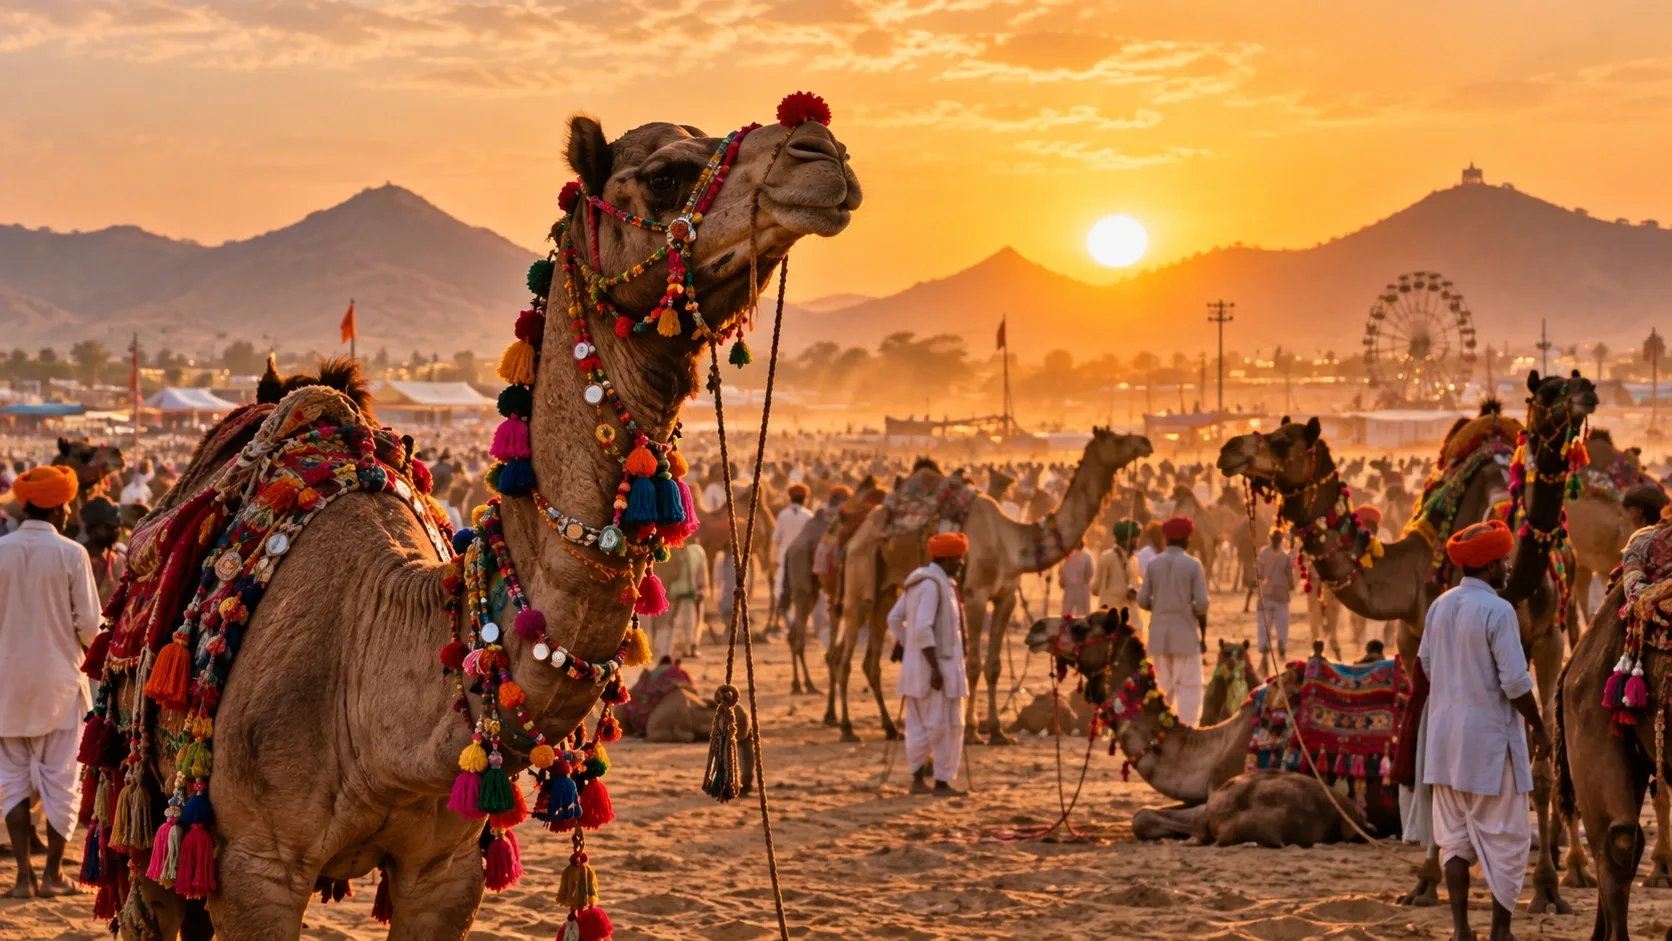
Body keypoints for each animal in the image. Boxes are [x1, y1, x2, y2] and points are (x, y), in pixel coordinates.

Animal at [1216, 371, 1597, 912]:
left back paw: (1576, 867)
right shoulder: (1414, 635)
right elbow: (1424, 764)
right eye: (1547, 393)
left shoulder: (1548, 640)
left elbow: (1541, 768)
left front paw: (1546, 887)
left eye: (1284, 440)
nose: (1228, 450)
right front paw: (1425, 880)